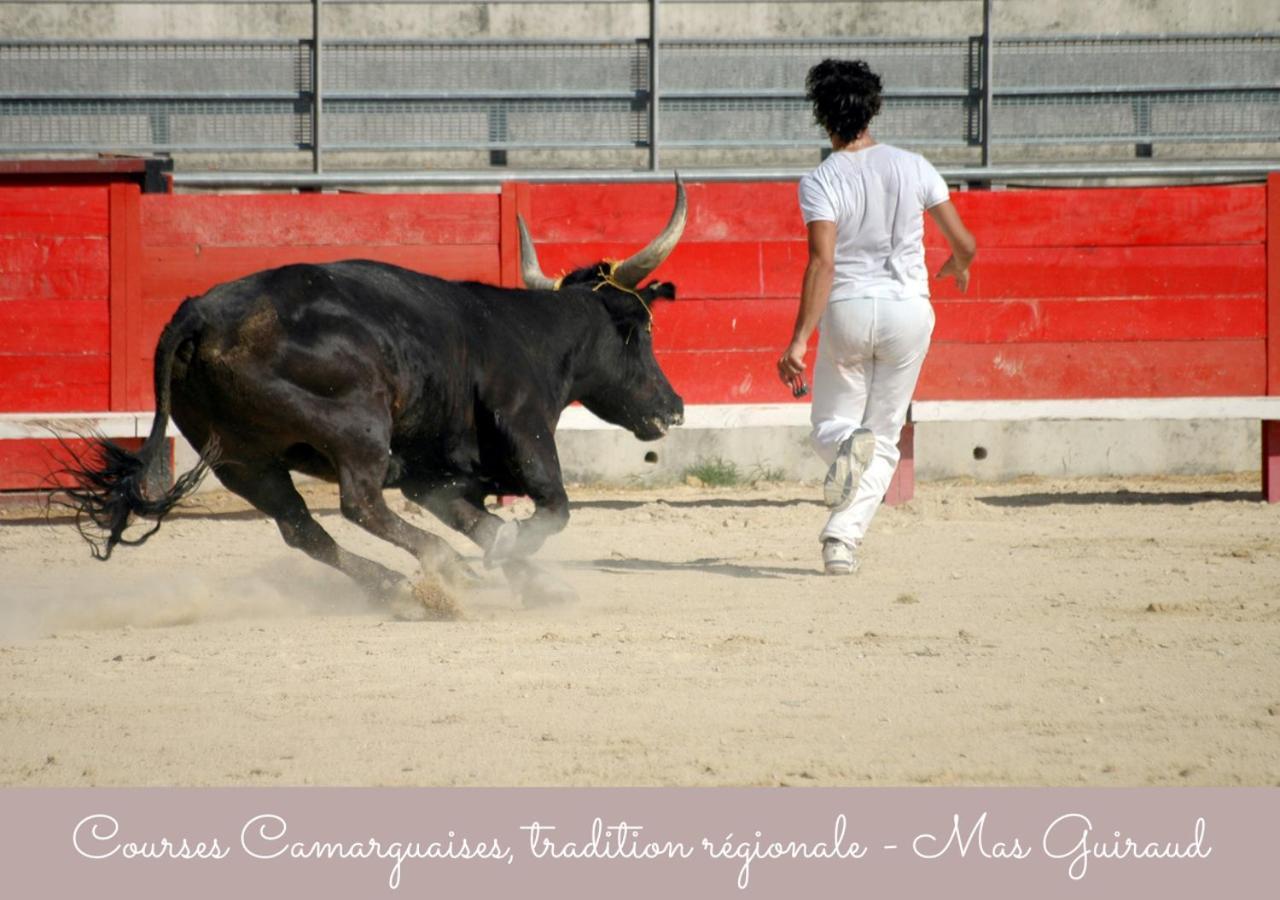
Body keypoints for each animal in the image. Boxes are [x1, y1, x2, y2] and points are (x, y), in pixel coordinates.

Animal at [55, 176, 691, 617]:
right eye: (643, 328)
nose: (676, 407)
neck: (529, 336)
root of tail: (200, 313)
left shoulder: (434, 475)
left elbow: (484, 521)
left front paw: (537, 583)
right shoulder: (528, 433)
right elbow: (550, 511)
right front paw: (511, 561)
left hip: (241, 459)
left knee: (302, 528)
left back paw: (403, 588)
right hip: (356, 425)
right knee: (359, 503)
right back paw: (444, 570)